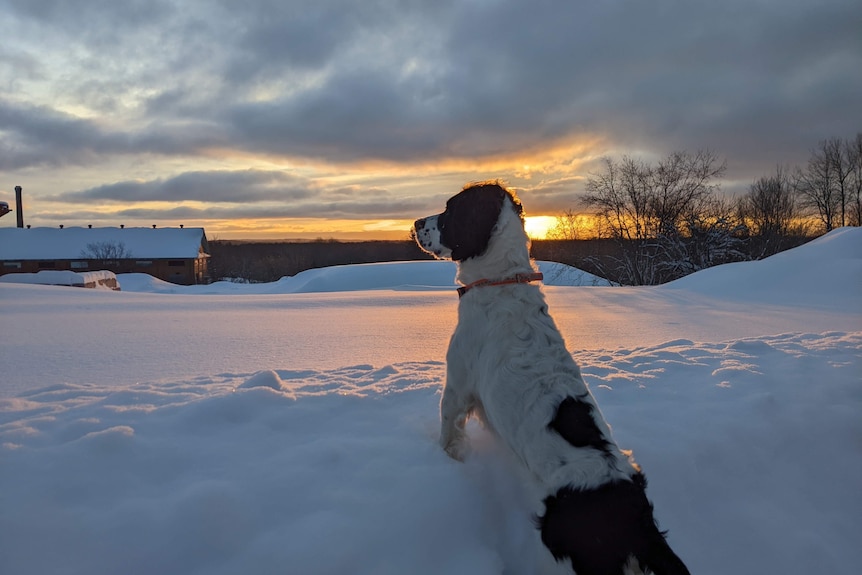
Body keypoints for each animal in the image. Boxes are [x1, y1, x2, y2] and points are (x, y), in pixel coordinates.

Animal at [416, 181, 692, 575]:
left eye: (450, 209)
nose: (415, 223)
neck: (501, 280)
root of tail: (633, 516)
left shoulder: (458, 385)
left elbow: (449, 431)